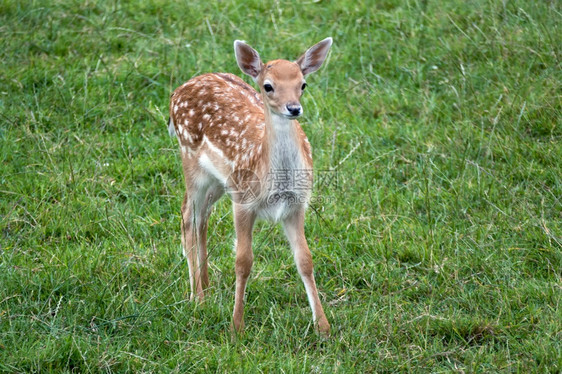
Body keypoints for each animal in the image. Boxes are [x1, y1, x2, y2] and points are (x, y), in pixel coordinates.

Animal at [168, 38, 330, 336]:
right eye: (268, 86)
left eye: (303, 84)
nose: (294, 108)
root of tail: (178, 91)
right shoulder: (244, 201)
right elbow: (243, 262)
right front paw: (236, 327)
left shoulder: (296, 204)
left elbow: (305, 260)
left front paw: (323, 327)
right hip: (191, 160)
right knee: (188, 215)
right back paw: (197, 297)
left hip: (220, 181)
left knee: (202, 217)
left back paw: (206, 285)